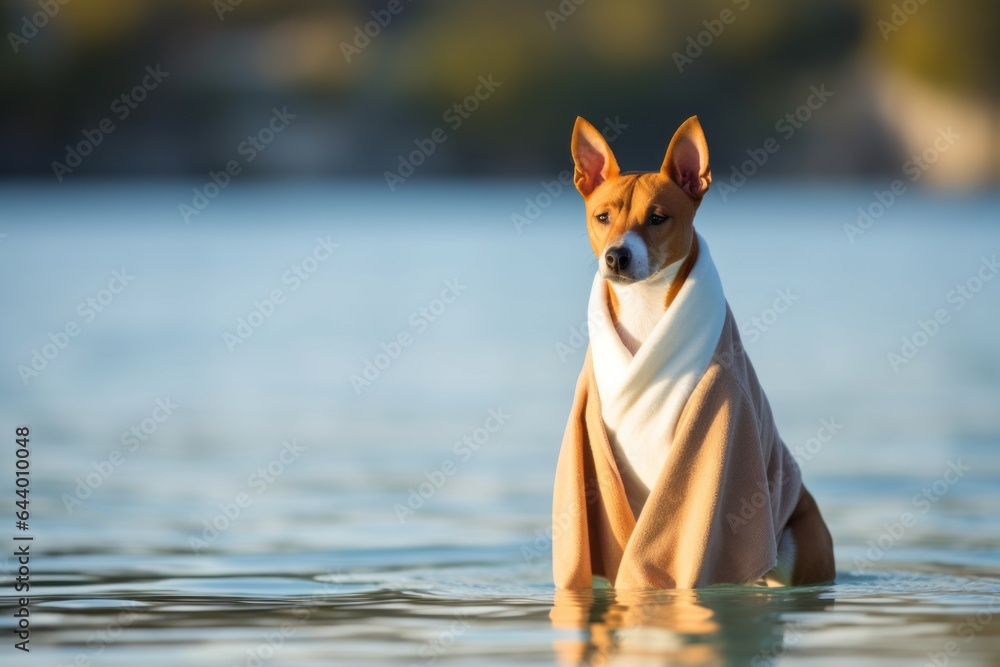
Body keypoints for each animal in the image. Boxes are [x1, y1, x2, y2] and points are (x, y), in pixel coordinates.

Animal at [552, 116, 840, 588]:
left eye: (657, 218)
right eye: (602, 217)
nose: (616, 256)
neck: (645, 314)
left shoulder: (716, 425)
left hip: (796, 548)